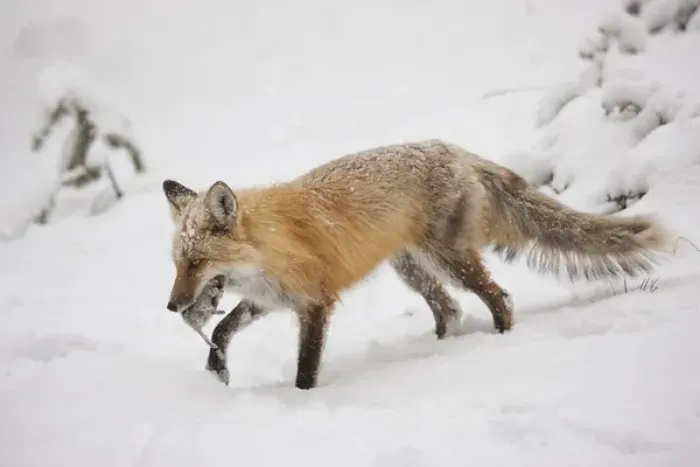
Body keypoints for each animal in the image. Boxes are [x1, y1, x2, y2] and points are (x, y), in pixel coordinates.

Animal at [162, 139, 670, 390]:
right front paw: (216, 373)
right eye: (178, 263)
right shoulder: (268, 299)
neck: (269, 247)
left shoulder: (314, 303)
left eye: (198, 261)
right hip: (412, 269)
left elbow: (307, 368)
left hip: (449, 259)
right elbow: (222, 330)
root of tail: (456, 149)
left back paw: (500, 342)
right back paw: (438, 351)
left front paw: (300, 403)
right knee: (449, 309)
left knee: (499, 297)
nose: (171, 307)